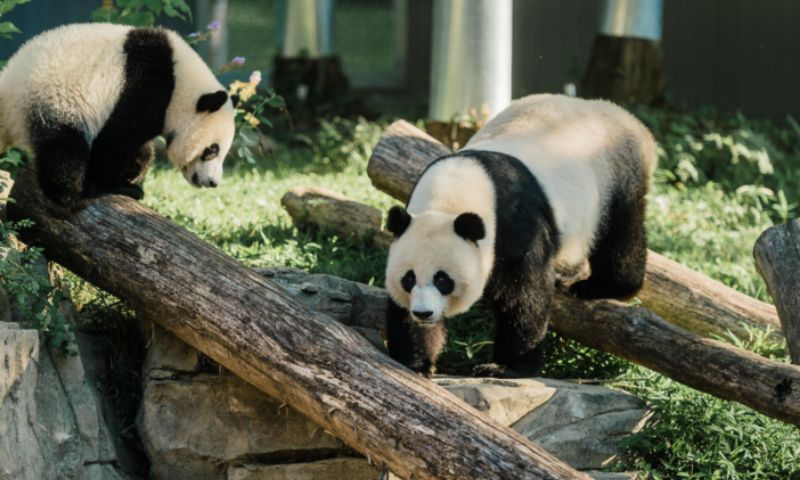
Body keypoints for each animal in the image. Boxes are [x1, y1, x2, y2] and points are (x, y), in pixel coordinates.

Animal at [0, 23, 238, 209]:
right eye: (212, 150)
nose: (213, 182)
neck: (180, 82)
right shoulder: (145, 87)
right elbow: (117, 140)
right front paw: (119, 185)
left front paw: (135, 167)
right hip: (55, 102)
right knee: (64, 151)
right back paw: (77, 193)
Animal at [386, 94, 656, 378]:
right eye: (408, 279)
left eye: (442, 279)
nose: (423, 313)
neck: (451, 193)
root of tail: (628, 120)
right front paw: (416, 361)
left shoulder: (515, 223)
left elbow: (523, 294)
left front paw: (504, 366)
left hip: (615, 177)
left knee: (620, 234)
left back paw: (604, 286)